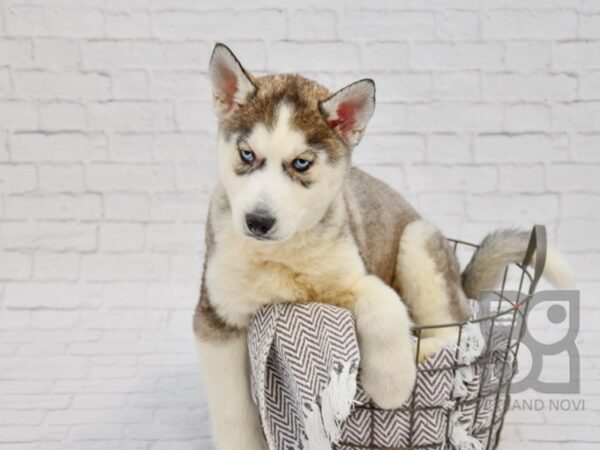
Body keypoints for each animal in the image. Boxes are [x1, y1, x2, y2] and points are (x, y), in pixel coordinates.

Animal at [193, 43, 572, 450]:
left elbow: (384, 302)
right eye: (247, 155)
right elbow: (231, 407)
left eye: (301, 163)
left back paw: (423, 350)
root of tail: (460, 280)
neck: (281, 254)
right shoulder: (217, 318)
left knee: (457, 332)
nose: (258, 222)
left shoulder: (353, 274)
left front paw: (392, 384)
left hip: (418, 243)